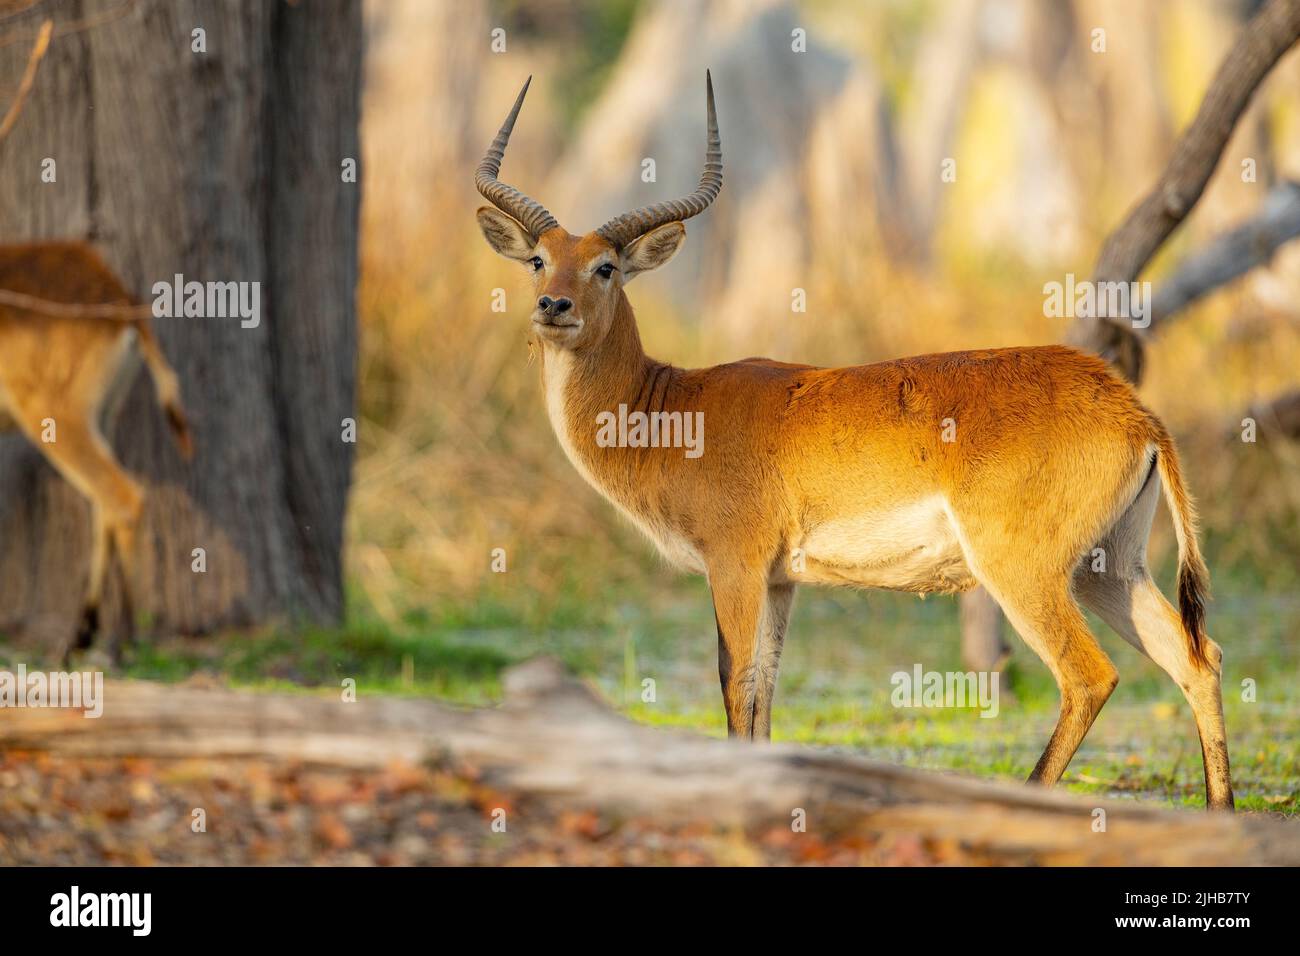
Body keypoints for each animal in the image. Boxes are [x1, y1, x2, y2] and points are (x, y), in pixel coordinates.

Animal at [0, 243, 192, 655]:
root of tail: (120, 299)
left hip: (56, 418)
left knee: (123, 498)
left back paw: (121, 641)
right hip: (103, 417)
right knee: (103, 507)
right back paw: (83, 635)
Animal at [478, 74, 1237, 811]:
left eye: (605, 266)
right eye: (539, 260)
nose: (554, 306)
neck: (670, 406)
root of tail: (1134, 411)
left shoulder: (734, 566)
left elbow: (733, 682)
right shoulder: (780, 580)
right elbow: (763, 691)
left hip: (1025, 570)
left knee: (1090, 676)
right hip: (1109, 567)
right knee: (1198, 657)